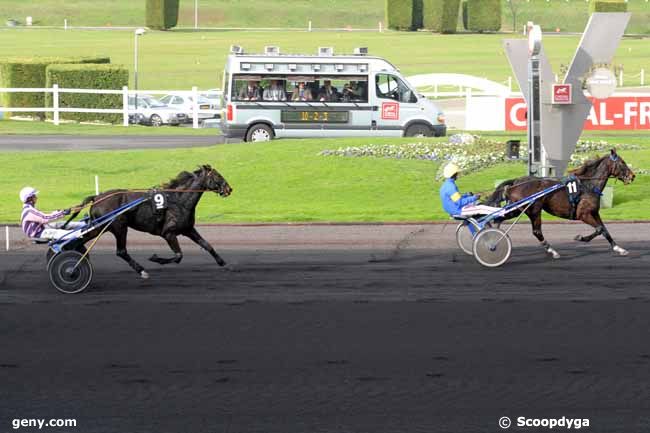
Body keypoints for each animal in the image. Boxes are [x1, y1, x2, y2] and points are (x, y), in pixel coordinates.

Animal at [67, 164, 233, 278]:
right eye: (218, 176)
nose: (229, 189)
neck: (178, 200)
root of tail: (97, 198)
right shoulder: (168, 233)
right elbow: (178, 256)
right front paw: (156, 258)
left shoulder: (187, 229)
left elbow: (206, 244)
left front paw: (223, 262)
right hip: (119, 227)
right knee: (121, 251)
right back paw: (142, 271)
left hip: (100, 227)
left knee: (80, 240)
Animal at [486, 149, 632, 256]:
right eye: (622, 162)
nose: (632, 176)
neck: (588, 185)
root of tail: (516, 182)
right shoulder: (583, 214)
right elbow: (599, 229)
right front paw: (580, 238)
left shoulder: (594, 212)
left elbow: (604, 230)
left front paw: (619, 248)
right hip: (532, 209)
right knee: (536, 231)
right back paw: (552, 251)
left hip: (518, 209)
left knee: (499, 218)